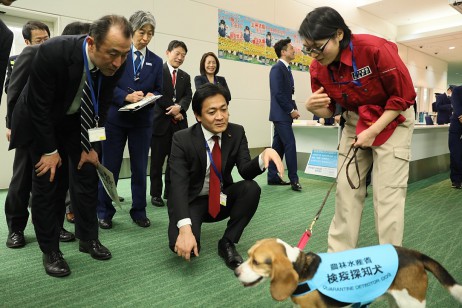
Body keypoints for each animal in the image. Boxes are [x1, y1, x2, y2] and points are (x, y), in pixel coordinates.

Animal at [236, 238, 460, 308]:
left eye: (256, 262)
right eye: (248, 256)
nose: (236, 271)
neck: (299, 267)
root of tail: (415, 254)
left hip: (411, 302)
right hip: (395, 301)